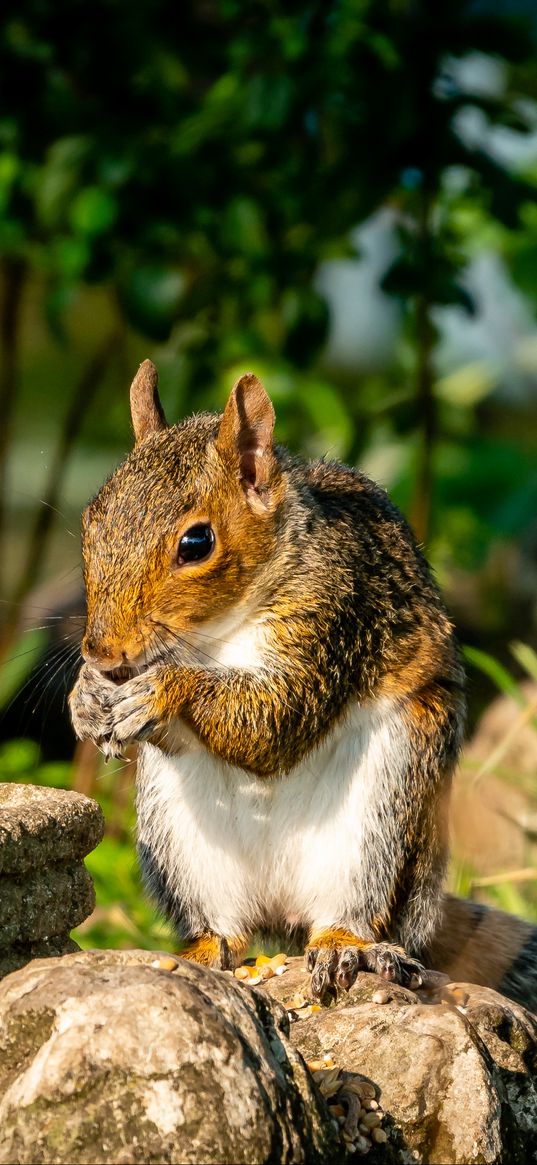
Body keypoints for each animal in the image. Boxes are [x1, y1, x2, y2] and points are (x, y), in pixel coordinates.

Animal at [69, 358, 533, 1006]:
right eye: (91, 522)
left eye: (196, 543)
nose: (105, 652)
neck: (219, 631)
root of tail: (284, 911)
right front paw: (84, 699)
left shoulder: (335, 612)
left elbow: (276, 719)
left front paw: (166, 690)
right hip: (181, 838)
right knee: (227, 928)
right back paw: (201, 951)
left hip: (384, 816)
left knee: (356, 912)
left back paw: (347, 946)